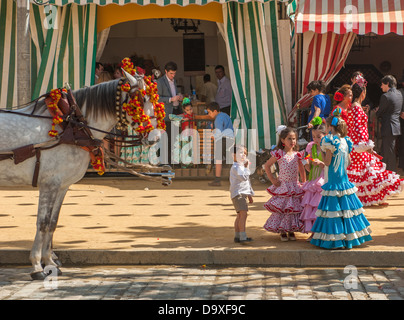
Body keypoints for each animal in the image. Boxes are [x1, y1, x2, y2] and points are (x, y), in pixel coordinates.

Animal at [0, 71, 169, 278]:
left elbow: (53, 223)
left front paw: (50, 262)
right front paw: (37, 265)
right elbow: (43, 223)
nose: (156, 137)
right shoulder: (49, 184)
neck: (71, 127)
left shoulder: (62, 186)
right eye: (141, 99)